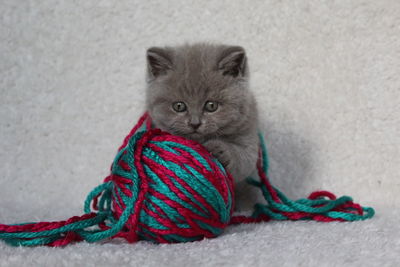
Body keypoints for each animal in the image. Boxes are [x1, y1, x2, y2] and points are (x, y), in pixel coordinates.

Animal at [144, 43, 260, 186]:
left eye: (211, 106)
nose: (195, 123)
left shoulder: (248, 133)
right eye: (179, 106)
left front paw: (219, 149)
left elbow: (244, 160)